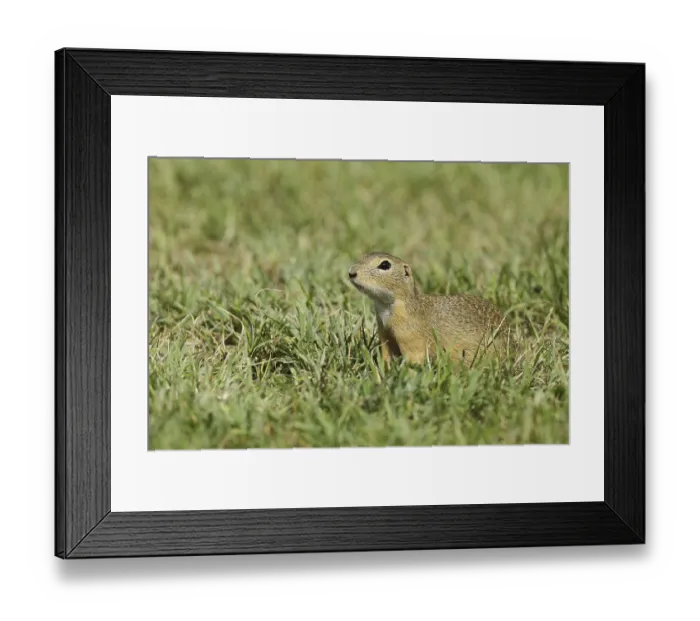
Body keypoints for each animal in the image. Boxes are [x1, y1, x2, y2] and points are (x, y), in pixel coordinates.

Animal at [348, 252, 508, 366]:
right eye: (363, 256)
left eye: (385, 265)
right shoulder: (385, 333)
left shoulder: (410, 336)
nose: (351, 272)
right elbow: (386, 354)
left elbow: (413, 359)